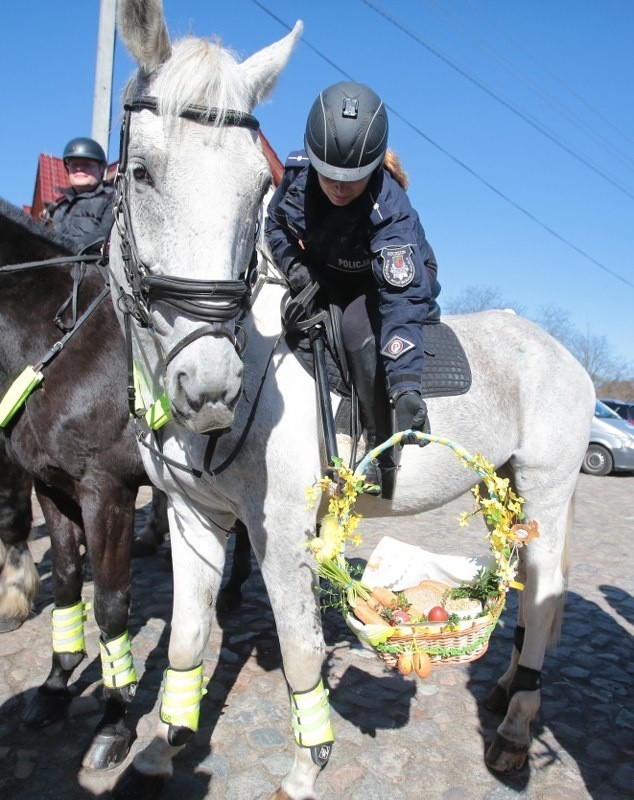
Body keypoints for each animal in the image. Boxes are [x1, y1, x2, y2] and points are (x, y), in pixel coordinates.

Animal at [107, 3, 592, 796]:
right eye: (143, 172)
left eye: (255, 186)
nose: (210, 387)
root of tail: (563, 355)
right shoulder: (192, 519)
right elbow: (185, 638)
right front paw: (163, 745)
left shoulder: (280, 534)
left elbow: (301, 651)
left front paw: (307, 768)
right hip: (505, 488)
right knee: (526, 589)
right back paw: (503, 692)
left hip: (548, 490)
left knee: (546, 598)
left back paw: (516, 729)